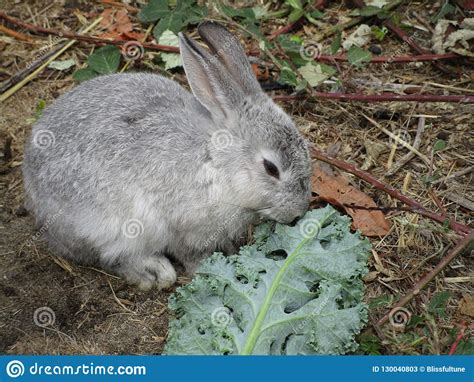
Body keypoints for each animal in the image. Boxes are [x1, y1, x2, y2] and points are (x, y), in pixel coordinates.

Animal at [22, 21, 312, 290]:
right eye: (271, 168)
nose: (299, 211)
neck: (216, 162)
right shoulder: (182, 228)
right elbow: (189, 253)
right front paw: (204, 270)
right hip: (106, 228)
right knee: (111, 257)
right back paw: (154, 273)